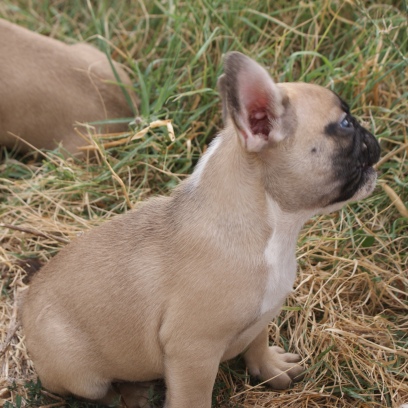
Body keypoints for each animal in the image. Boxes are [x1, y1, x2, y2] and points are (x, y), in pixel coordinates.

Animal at [20, 52, 380, 406]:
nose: (371, 134)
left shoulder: (262, 315)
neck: (272, 231)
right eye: (345, 124)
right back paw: (130, 393)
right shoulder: (193, 351)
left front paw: (270, 367)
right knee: (93, 391)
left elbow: (258, 340)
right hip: (80, 373)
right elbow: (194, 396)